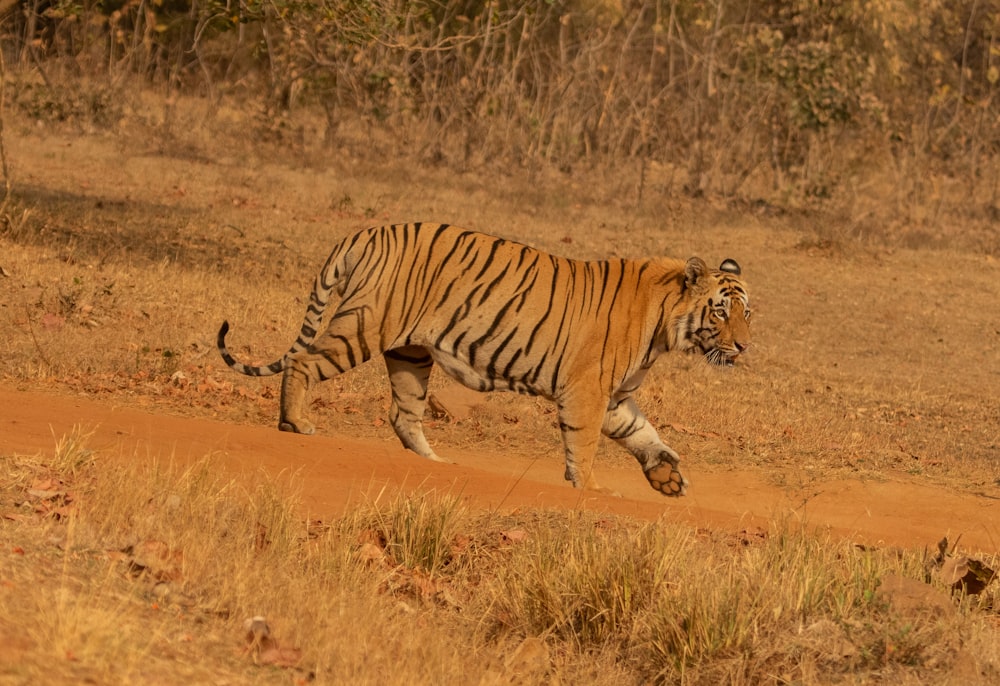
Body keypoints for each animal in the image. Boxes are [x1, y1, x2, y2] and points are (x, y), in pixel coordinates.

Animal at [219, 223, 752, 498]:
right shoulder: (588, 390)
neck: (665, 325)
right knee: (303, 362)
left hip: (411, 354)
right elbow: (585, 444)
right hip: (365, 327)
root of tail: (367, 230)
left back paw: (437, 463)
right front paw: (590, 486)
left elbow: (643, 433)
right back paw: (295, 423)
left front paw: (667, 476)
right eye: (721, 312)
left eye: (748, 312)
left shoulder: (615, 396)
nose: (745, 347)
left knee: (402, 414)